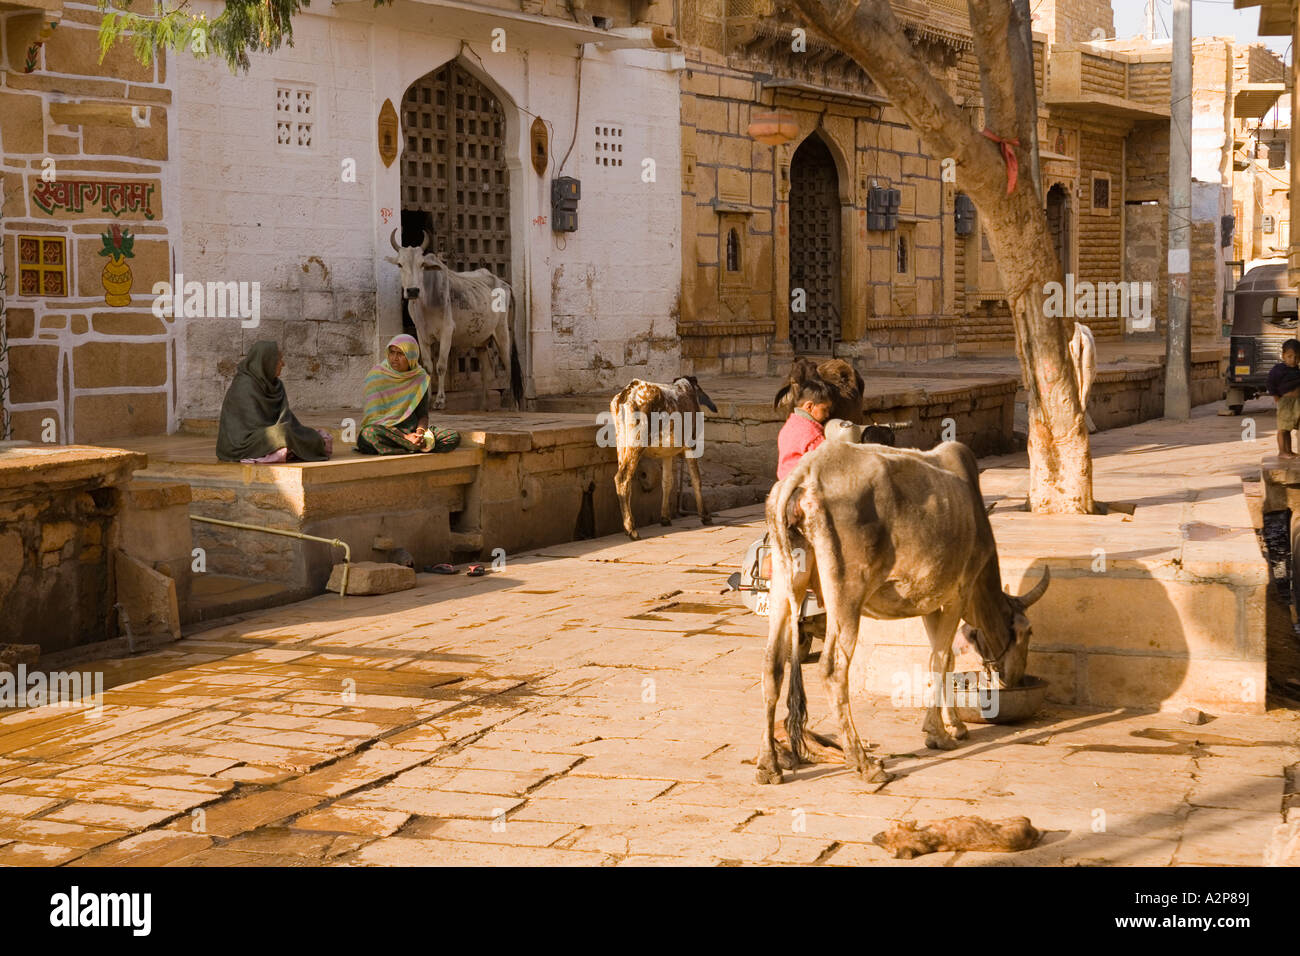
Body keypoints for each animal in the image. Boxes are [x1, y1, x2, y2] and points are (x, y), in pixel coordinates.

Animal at [384, 232, 522, 416]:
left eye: (422, 265)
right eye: (400, 264)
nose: (412, 291)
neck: (426, 302)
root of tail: (504, 284)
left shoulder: (446, 332)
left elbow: (441, 366)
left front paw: (440, 401)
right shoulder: (422, 335)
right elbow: (428, 367)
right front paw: (427, 400)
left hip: (502, 333)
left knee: (508, 365)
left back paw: (513, 406)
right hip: (481, 341)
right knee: (486, 371)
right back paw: (484, 405)